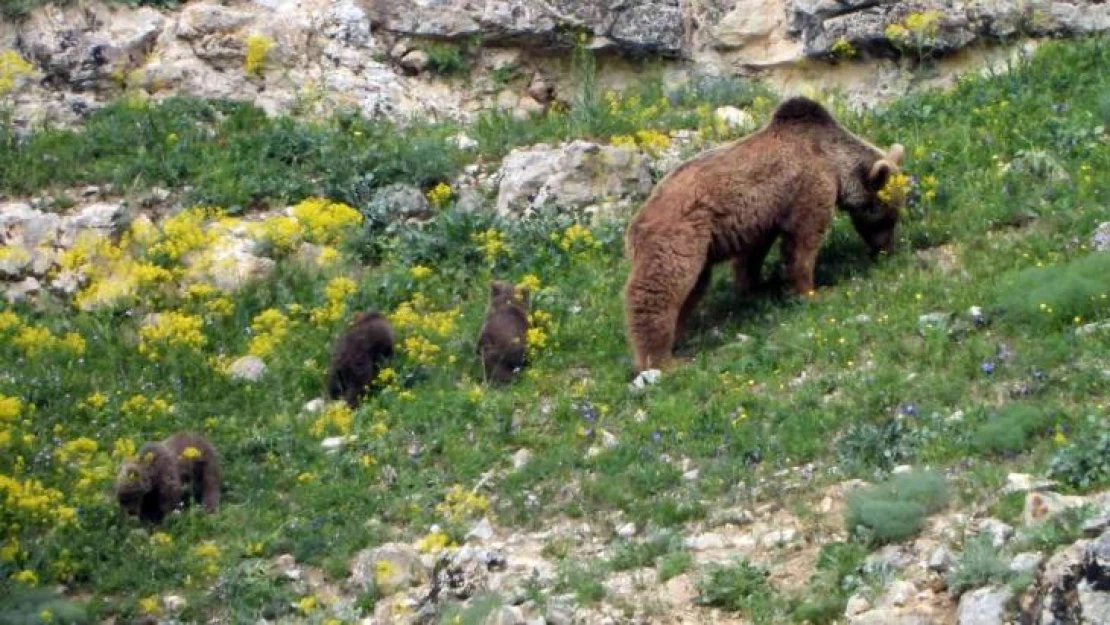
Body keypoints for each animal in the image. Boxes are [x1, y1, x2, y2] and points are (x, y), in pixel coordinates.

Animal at [621, 95, 905, 375]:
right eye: (889, 215)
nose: (887, 250)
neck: (836, 163)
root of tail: (636, 222)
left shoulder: (762, 214)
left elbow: (751, 254)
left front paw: (757, 286)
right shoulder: (810, 186)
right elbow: (802, 241)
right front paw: (812, 290)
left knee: (693, 287)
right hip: (680, 236)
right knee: (661, 287)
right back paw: (661, 361)